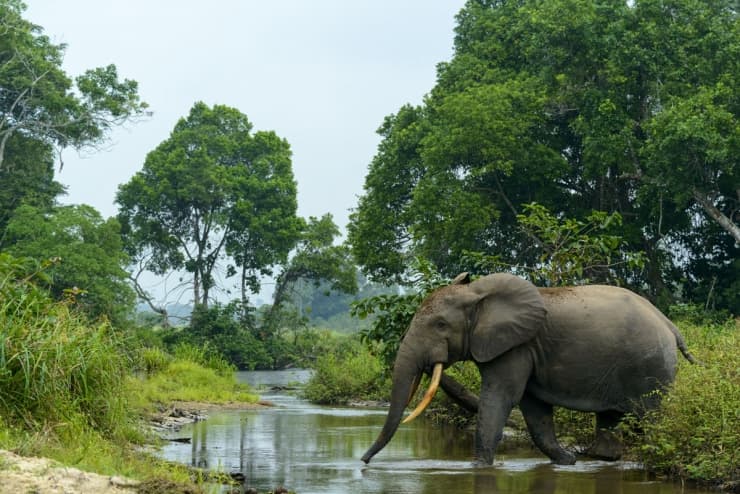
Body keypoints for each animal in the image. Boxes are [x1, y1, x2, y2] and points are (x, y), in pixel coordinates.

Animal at [361, 272, 696, 466]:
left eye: (441, 325)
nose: (363, 463)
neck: (478, 293)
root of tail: (670, 324)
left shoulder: (516, 345)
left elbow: (501, 397)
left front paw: (478, 467)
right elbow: (534, 408)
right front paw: (567, 462)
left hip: (650, 366)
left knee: (653, 416)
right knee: (610, 417)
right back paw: (600, 458)